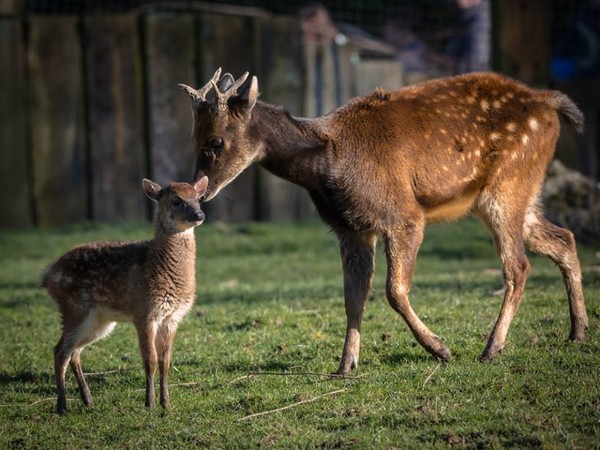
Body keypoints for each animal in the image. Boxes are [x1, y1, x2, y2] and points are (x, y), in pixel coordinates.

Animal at [180, 68, 588, 374]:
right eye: (194, 138)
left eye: (216, 142)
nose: (200, 191)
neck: (329, 167)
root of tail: (550, 104)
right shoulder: (350, 229)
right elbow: (353, 295)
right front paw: (346, 365)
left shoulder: (404, 216)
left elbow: (394, 290)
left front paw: (440, 350)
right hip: (518, 195)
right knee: (564, 238)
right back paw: (578, 331)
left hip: (507, 186)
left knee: (518, 266)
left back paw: (492, 348)